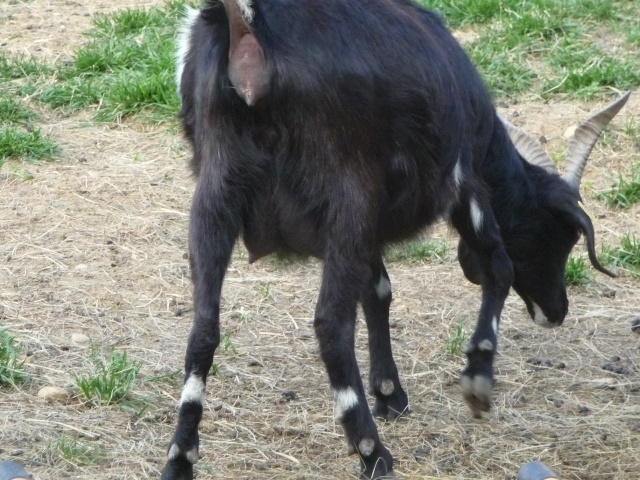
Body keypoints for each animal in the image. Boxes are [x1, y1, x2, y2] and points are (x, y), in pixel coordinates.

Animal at [161, 1, 632, 478]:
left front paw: (389, 393)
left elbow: (378, 290)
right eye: (561, 234)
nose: (556, 311)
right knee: (330, 324)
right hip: (346, 192)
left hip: (217, 194)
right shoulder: (461, 181)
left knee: (204, 327)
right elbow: (498, 267)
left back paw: (181, 455)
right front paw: (477, 377)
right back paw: (371, 449)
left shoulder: (370, 226)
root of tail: (249, 27)